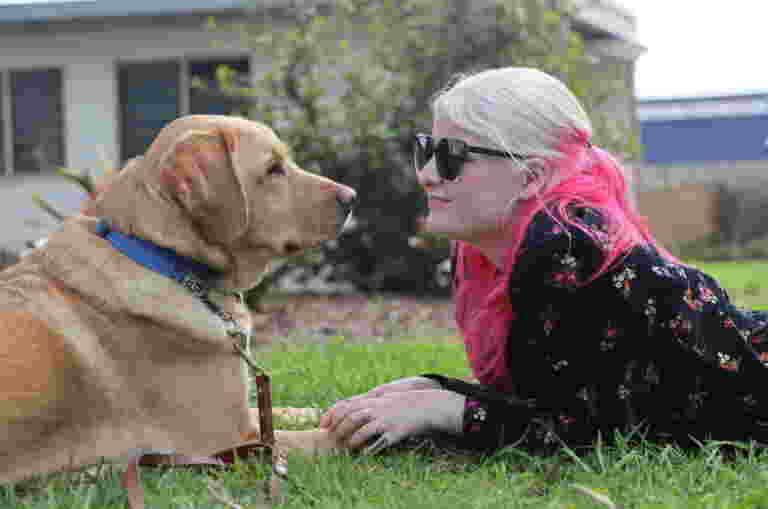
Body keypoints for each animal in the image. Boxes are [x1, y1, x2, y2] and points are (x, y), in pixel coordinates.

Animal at [1, 114, 350, 480]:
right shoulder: (231, 438)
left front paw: (326, 408)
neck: (164, 257)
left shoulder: (244, 417)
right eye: (272, 169)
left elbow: (283, 409)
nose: (352, 197)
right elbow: (314, 438)